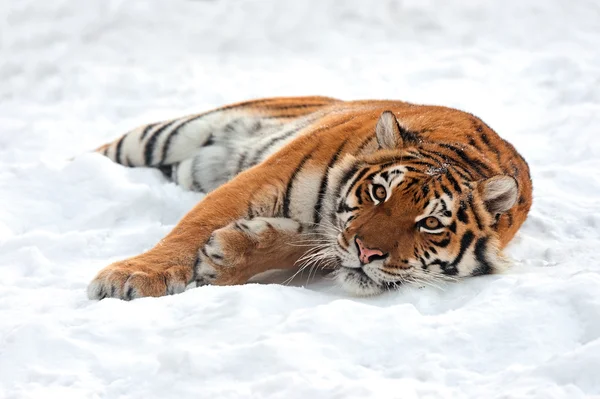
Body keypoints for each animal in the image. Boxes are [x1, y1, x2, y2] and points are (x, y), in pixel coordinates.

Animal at [86, 97, 532, 300]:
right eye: (379, 192)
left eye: (431, 223)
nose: (368, 253)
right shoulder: (262, 178)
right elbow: (194, 225)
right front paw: (130, 277)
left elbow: (305, 246)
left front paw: (226, 257)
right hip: (166, 135)